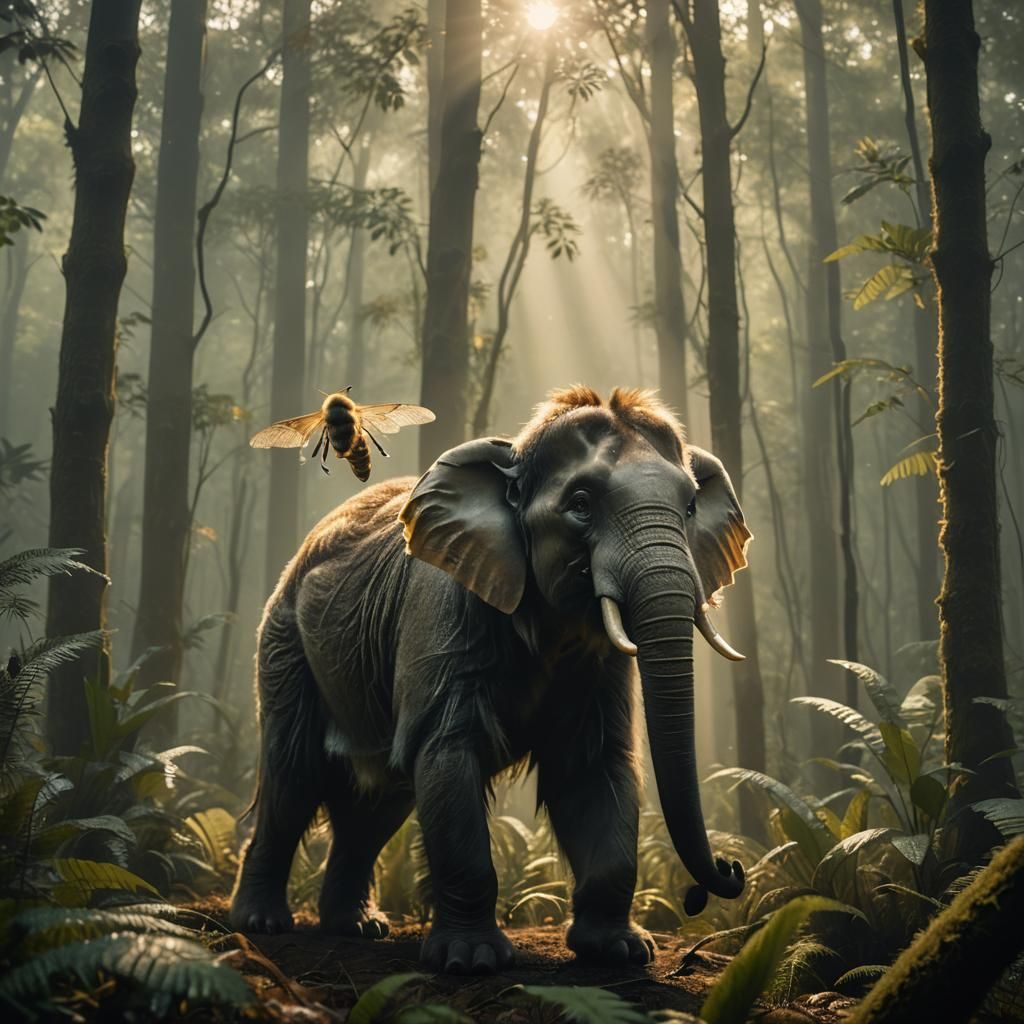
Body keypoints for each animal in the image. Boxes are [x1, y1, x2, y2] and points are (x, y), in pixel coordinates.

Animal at [230, 385, 752, 974]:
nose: (727, 873)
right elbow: (447, 751)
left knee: (377, 803)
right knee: (294, 779)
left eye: (689, 507)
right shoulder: (444, 611)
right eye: (580, 504)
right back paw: (262, 923)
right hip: (284, 647)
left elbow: (594, 766)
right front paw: (471, 961)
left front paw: (620, 951)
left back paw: (360, 928)